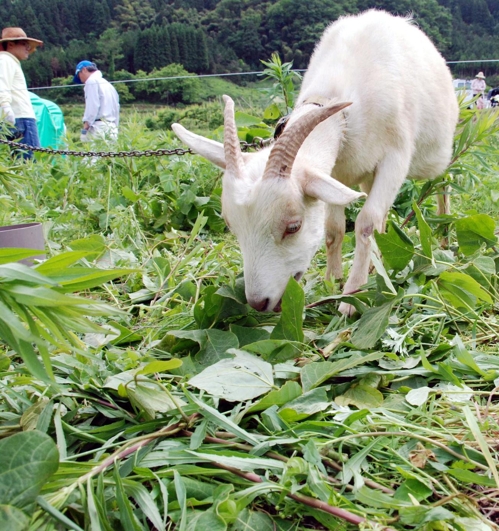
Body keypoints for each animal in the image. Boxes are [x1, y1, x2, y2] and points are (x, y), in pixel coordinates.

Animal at [173, 10, 460, 316]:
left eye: (293, 227)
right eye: (231, 226)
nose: (259, 303)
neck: (336, 106)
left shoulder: (395, 156)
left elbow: (365, 223)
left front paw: (351, 297)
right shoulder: (335, 171)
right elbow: (334, 229)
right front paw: (332, 281)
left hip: (438, 153)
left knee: (444, 183)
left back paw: (443, 237)